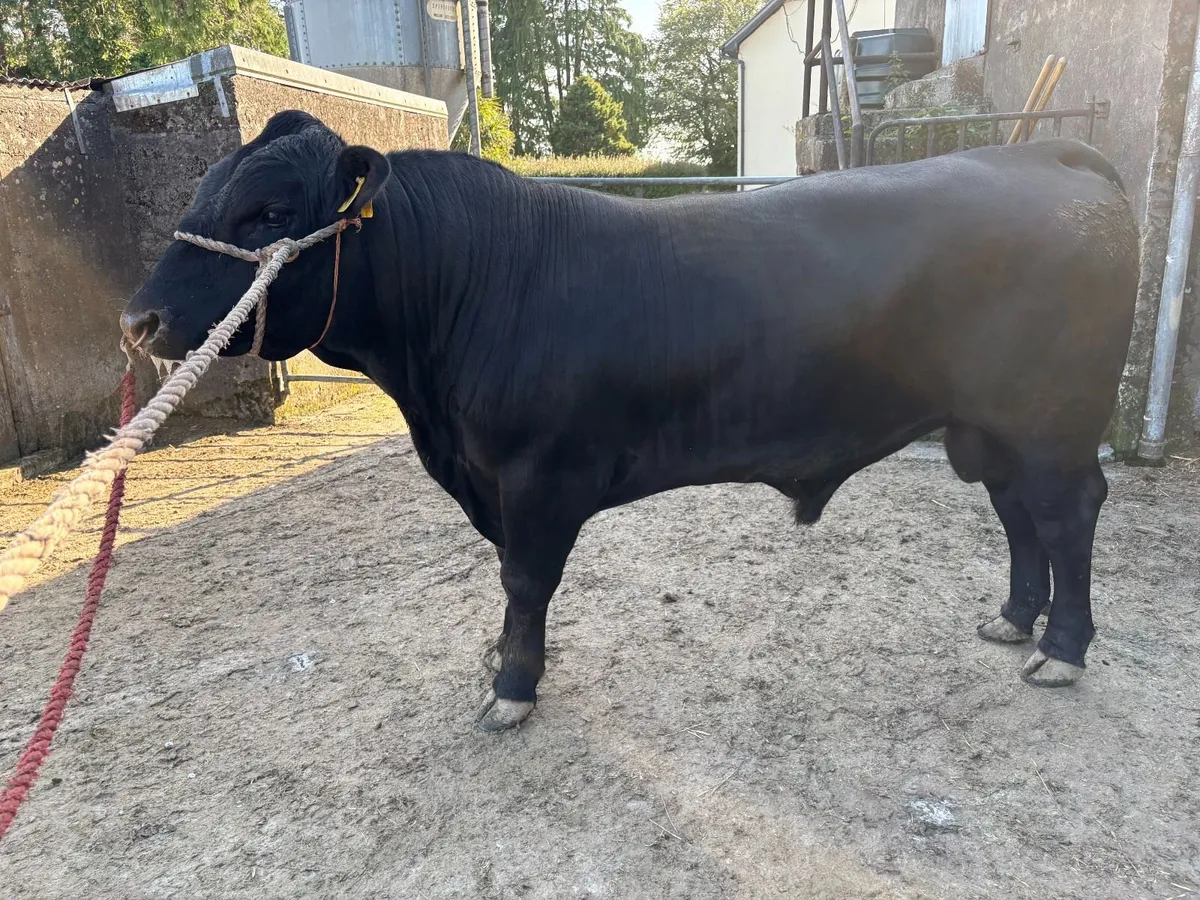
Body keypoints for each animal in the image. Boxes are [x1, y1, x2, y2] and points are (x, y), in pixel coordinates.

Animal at [121, 110, 1139, 731]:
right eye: (205, 193)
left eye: (269, 211)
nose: (138, 319)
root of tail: (1041, 154)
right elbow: (510, 582)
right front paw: (505, 658)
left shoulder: (537, 478)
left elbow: (526, 580)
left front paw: (512, 688)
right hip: (992, 428)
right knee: (1019, 516)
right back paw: (1015, 619)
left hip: (1051, 422)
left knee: (1068, 515)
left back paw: (1061, 649)